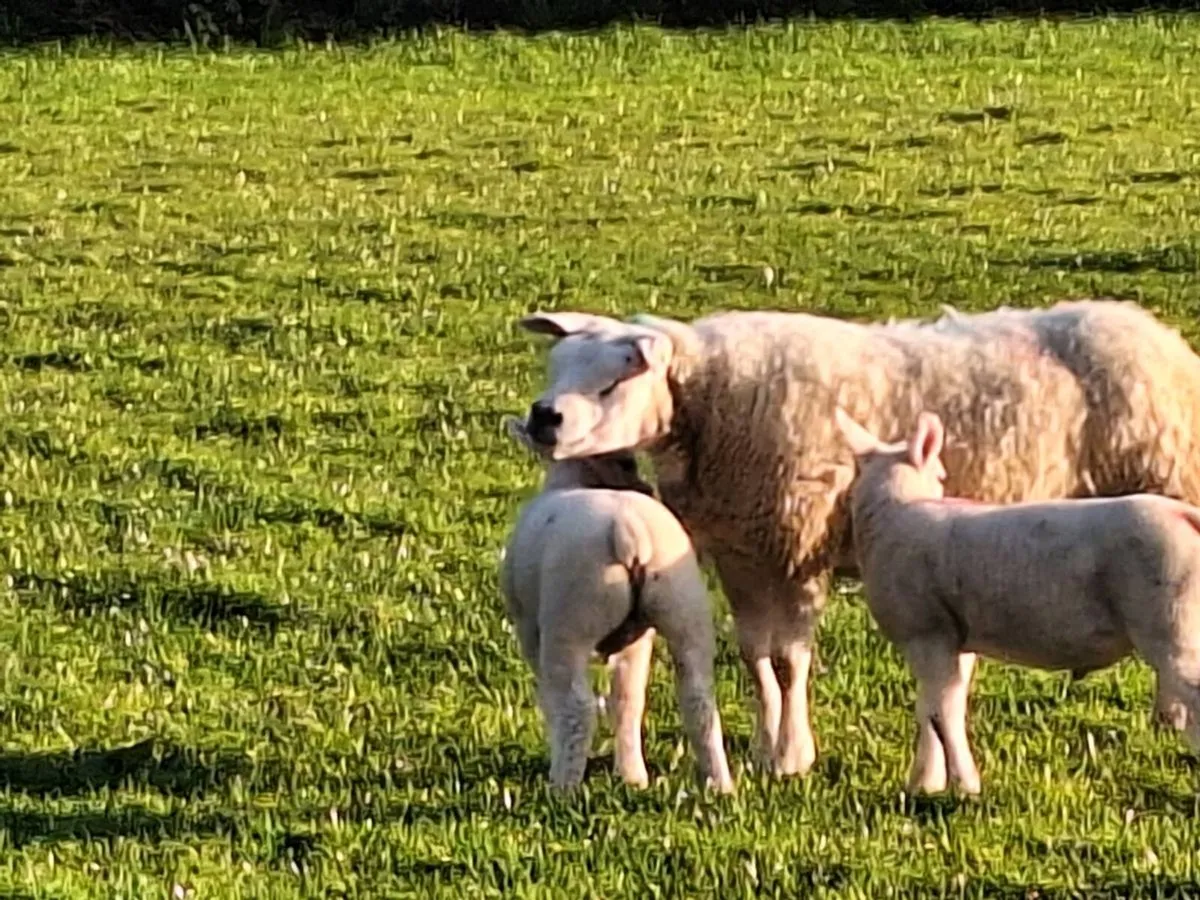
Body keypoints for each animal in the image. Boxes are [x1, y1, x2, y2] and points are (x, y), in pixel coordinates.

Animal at [499, 416, 735, 794]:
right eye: (627, 461)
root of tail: (628, 529)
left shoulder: (528, 629)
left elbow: (551, 700)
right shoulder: (637, 640)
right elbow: (625, 699)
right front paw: (630, 774)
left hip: (571, 617)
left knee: (577, 708)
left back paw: (563, 788)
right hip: (684, 607)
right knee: (694, 699)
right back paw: (713, 784)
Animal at [834, 406, 1200, 795]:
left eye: (940, 474)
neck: (897, 511)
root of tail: (1186, 516)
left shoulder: (927, 631)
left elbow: (939, 710)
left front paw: (964, 787)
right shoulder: (958, 637)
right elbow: (939, 706)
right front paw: (926, 785)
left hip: (1171, 623)